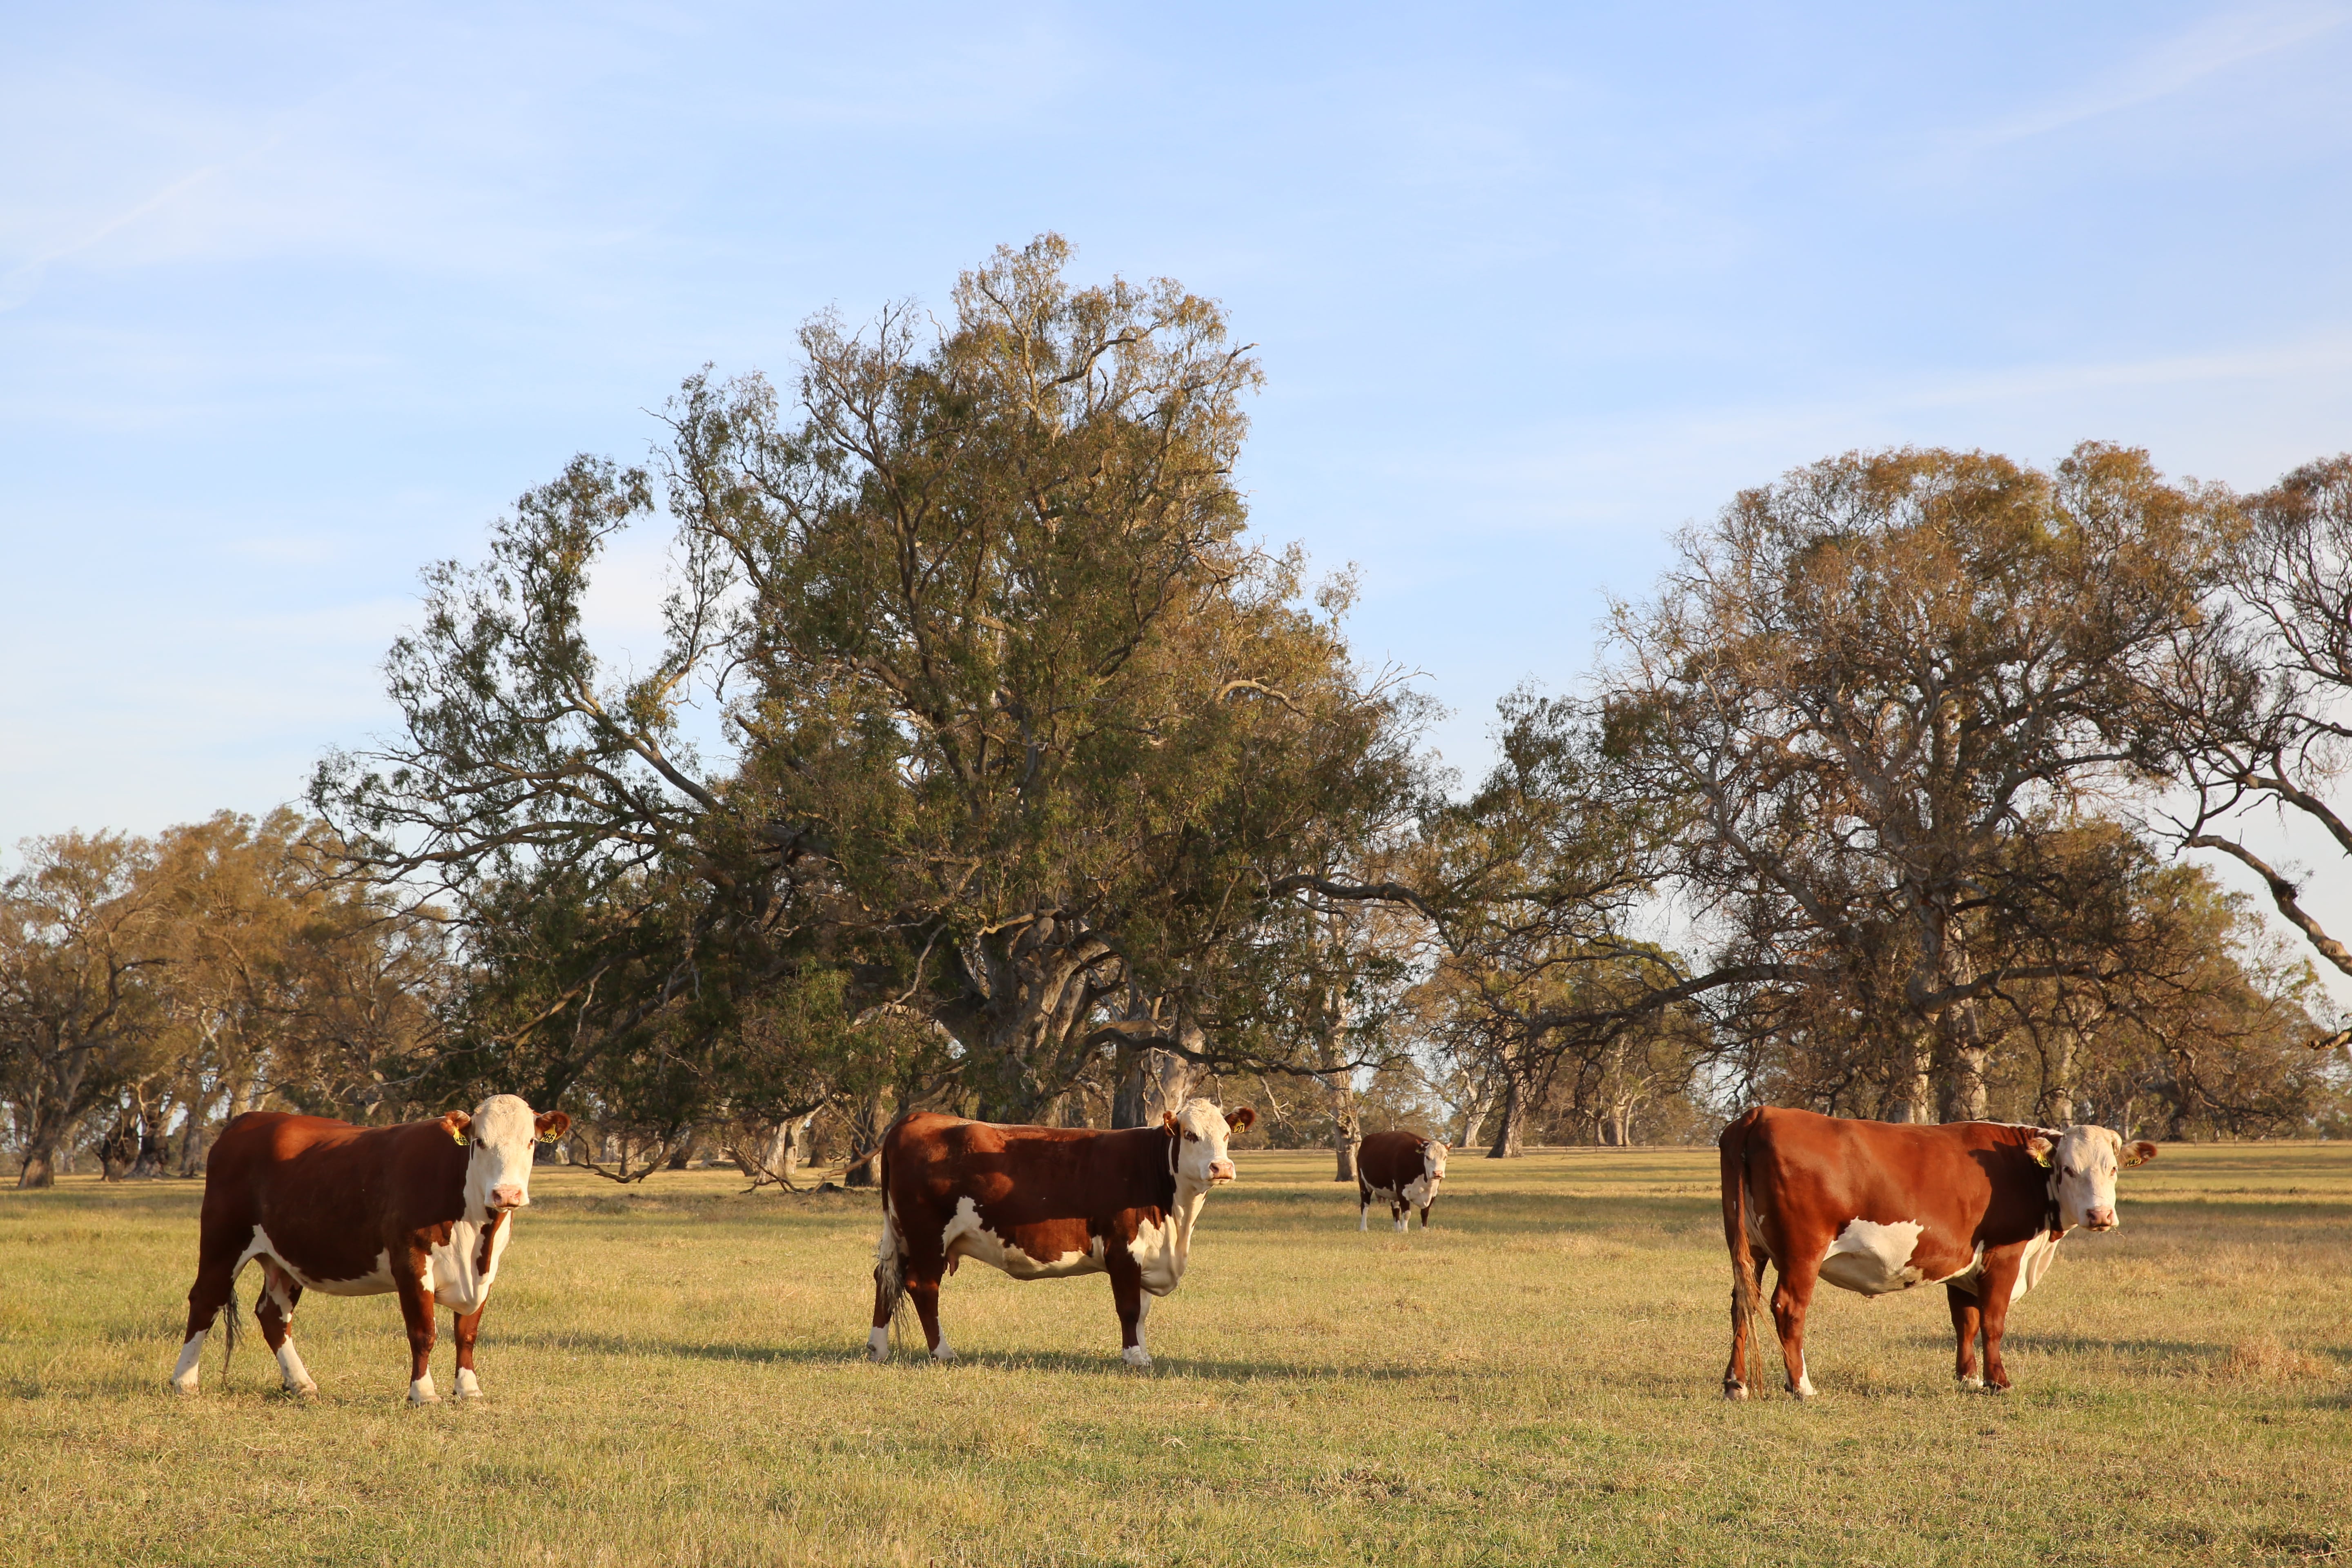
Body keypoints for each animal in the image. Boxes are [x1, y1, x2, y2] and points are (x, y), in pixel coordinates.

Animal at [170, 1091, 569, 1410]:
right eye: (480, 1142)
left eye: (531, 1142)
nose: (507, 1194)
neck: (475, 1232)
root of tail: (249, 1119)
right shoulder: (410, 1259)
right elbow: (424, 1332)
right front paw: (423, 1394)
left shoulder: (484, 1272)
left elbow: (467, 1333)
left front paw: (469, 1390)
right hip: (224, 1238)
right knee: (206, 1300)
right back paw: (185, 1382)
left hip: (284, 1256)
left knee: (273, 1314)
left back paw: (301, 1384)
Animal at [870, 1100, 1270, 1363]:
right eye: (1190, 1135)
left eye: (1226, 1135)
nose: (1222, 1167)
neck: (1177, 1221)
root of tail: (917, 1118)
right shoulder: (1123, 1249)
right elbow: (1128, 1308)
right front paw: (1134, 1357)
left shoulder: (1150, 1254)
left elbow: (1142, 1311)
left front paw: (1143, 1353)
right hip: (927, 1234)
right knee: (923, 1286)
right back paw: (943, 1352)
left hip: (903, 1233)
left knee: (885, 1278)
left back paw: (878, 1348)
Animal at [1354, 1133, 1439, 1232]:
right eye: (1427, 1157)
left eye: (1445, 1157)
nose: (1438, 1173)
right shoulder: (1403, 1191)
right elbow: (1407, 1213)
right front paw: (1404, 1230)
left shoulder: (1433, 1194)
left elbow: (1425, 1212)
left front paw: (1424, 1229)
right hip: (1365, 1185)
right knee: (1365, 1206)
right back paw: (1363, 1228)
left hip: (1393, 1192)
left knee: (1395, 1208)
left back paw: (1397, 1229)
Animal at [1722, 1105, 2154, 1401]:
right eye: (2067, 1169)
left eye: (2113, 1168)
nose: (2100, 1215)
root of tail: (1763, 1113)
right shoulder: (2004, 1254)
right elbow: (1993, 1321)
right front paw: (1999, 1382)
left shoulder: (1963, 1264)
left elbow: (1965, 1320)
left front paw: (1969, 1378)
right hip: (1803, 1252)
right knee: (1788, 1307)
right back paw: (1802, 1386)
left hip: (1749, 1247)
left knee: (1742, 1304)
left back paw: (1736, 1384)